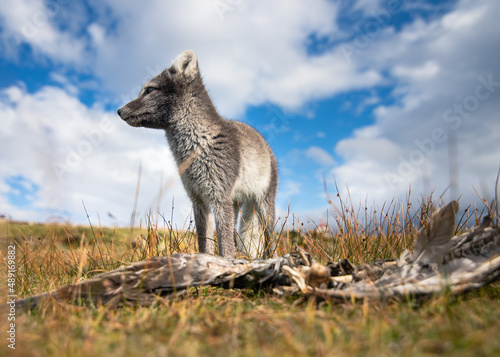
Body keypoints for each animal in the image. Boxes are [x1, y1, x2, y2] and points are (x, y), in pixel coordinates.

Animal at [119, 49, 280, 256]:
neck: (199, 143)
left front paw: (225, 261)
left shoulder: (219, 197)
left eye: (149, 90)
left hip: (263, 205)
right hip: (235, 203)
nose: (119, 111)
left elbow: (225, 247)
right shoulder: (198, 199)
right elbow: (204, 243)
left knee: (270, 239)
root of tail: (265, 143)